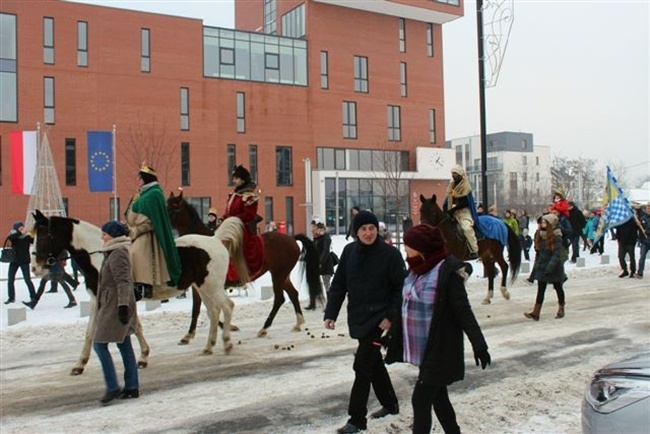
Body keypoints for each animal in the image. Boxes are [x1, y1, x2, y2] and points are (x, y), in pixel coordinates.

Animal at [28, 209, 246, 374]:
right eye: (32, 238)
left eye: (44, 235)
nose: (35, 268)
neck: (102, 254)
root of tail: (215, 239)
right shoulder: (98, 300)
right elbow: (91, 332)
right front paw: (80, 364)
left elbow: (134, 328)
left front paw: (143, 357)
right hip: (203, 288)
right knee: (213, 312)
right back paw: (209, 346)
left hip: (212, 286)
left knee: (227, 306)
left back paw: (227, 342)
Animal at [165, 192, 322, 338]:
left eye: (173, 206)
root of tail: (292, 238)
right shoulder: (198, 286)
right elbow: (197, 308)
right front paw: (190, 333)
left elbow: (206, 308)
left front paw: (226, 326)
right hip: (283, 275)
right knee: (293, 294)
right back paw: (298, 323)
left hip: (278, 274)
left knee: (279, 299)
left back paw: (264, 328)